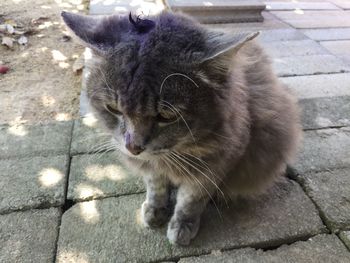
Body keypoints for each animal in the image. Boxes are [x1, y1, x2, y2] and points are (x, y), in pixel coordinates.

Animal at [62, 9, 300, 245]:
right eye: (113, 108)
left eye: (166, 116)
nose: (133, 147)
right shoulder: (152, 166)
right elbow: (155, 185)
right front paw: (155, 210)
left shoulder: (218, 162)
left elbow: (192, 198)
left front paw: (182, 225)